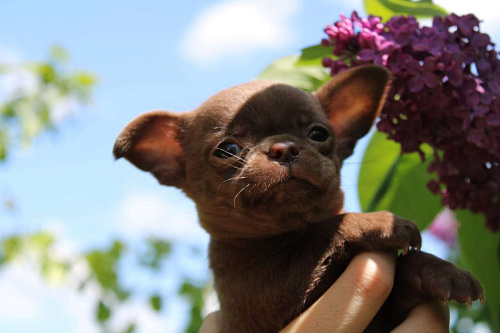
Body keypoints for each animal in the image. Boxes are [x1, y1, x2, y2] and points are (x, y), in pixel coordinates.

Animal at [114, 65, 484, 332]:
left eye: (319, 134)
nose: (284, 147)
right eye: (227, 149)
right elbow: (325, 232)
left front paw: (442, 270)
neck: (287, 232)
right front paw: (378, 221)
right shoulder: (266, 296)